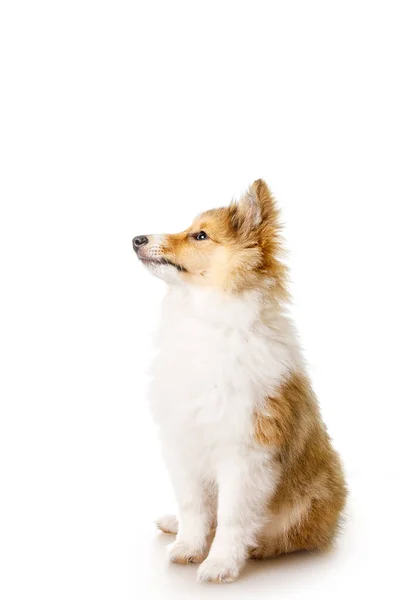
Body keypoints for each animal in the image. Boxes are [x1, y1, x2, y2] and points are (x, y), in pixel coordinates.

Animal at [132, 178, 346, 580]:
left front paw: (219, 564)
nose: (137, 239)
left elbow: (232, 516)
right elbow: (194, 506)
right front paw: (187, 547)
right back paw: (172, 523)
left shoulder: (245, 452)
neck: (206, 319)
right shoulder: (183, 442)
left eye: (200, 235)